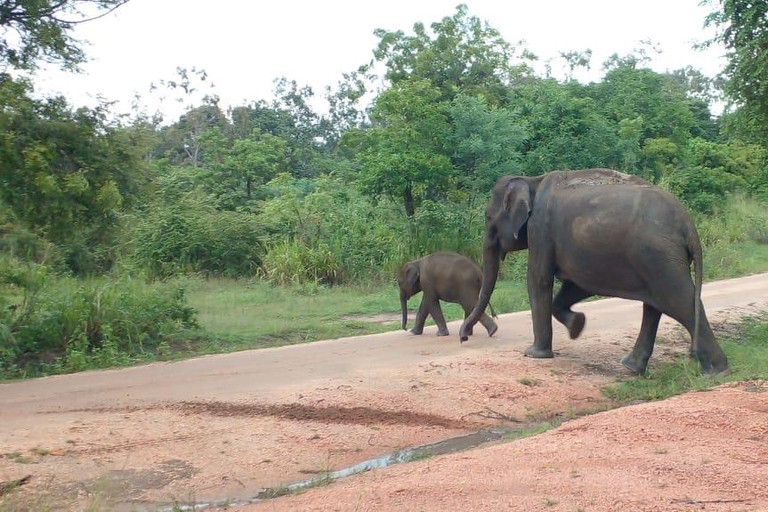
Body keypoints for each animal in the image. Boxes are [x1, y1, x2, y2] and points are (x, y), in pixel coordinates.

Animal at [460, 170, 728, 374]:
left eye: (487, 217)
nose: (463, 338)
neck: (532, 179)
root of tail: (688, 225)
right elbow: (577, 284)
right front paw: (577, 326)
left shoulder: (541, 229)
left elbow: (538, 280)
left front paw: (534, 354)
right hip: (658, 259)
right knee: (656, 306)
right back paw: (632, 367)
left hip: (659, 256)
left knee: (679, 302)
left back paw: (715, 371)